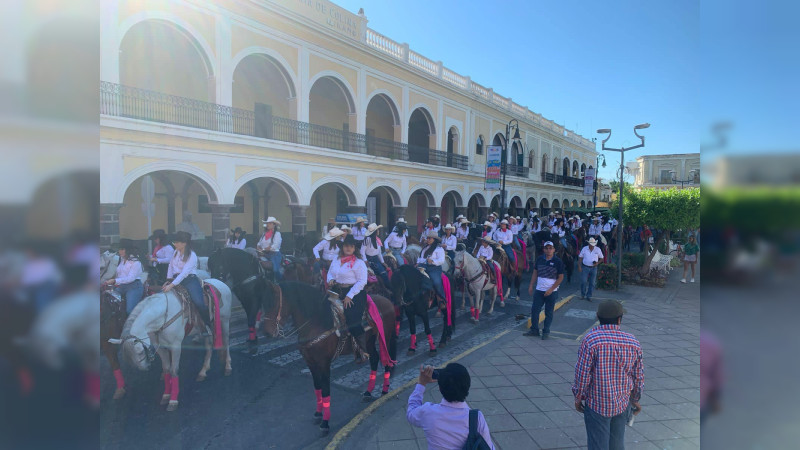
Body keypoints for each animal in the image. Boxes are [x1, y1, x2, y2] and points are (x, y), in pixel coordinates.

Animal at [111, 280, 233, 414]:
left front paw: (173, 400)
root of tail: (220, 282)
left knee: (226, 341)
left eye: (139, 352)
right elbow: (166, 369)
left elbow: (174, 370)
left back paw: (228, 366)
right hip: (205, 329)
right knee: (208, 345)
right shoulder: (161, 348)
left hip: (224, 320)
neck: (162, 315)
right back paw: (203, 371)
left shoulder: (175, 346)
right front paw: (166, 395)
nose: (145, 367)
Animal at [260, 282, 398, 432]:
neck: (315, 323)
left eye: (273, 303)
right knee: (374, 359)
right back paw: (368, 393)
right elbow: (317, 387)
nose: (266, 333)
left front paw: (325, 423)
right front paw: (318, 413)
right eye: (263, 303)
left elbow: (325, 389)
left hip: (386, 336)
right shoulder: (310, 363)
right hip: (369, 341)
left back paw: (384, 390)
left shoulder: (324, 363)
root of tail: (387, 300)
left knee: (387, 360)